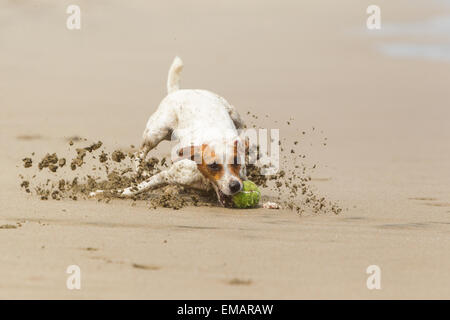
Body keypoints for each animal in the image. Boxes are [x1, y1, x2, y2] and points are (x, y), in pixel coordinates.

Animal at [90, 57, 248, 208]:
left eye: (236, 161)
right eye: (213, 165)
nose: (235, 185)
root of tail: (178, 91)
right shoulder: (166, 175)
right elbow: (132, 189)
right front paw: (100, 193)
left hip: (236, 117)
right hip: (156, 133)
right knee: (139, 154)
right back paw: (141, 171)